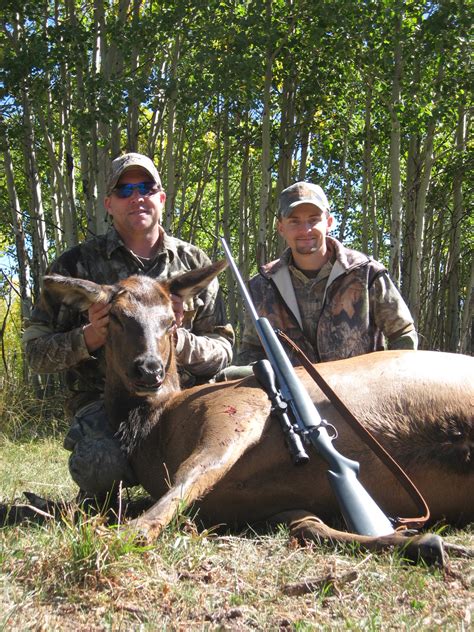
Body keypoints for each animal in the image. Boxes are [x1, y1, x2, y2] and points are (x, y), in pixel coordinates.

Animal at [44, 264, 474, 564]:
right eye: (115, 316)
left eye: (170, 321)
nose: (149, 369)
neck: (153, 431)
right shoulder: (278, 506)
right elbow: (311, 528)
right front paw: (424, 542)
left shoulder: (238, 407)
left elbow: (195, 471)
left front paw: (131, 532)